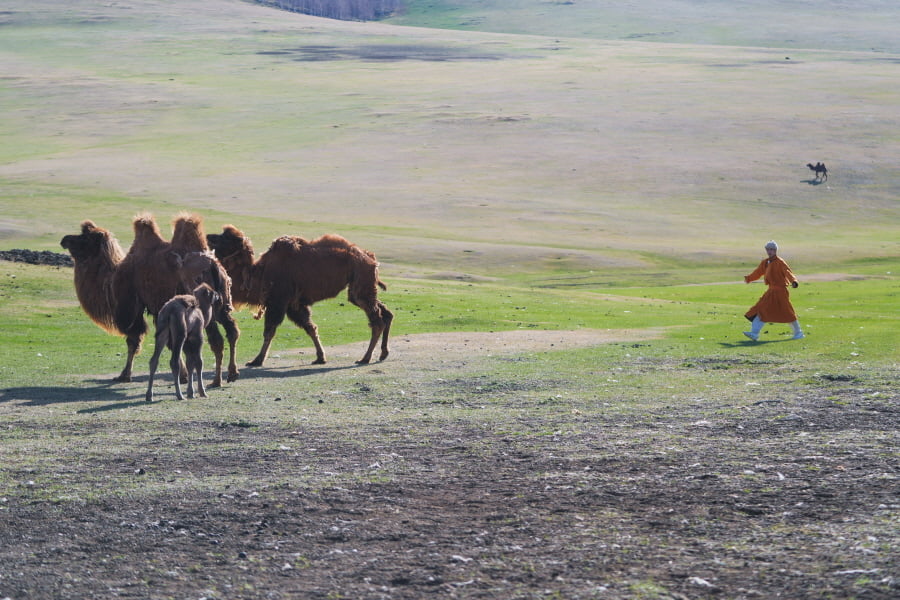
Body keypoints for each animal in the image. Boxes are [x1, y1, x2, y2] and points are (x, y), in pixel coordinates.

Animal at [209, 225, 396, 366]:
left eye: (226, 238)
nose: (209, 236)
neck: (260, 273)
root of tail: (371, 258)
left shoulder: (279, 301)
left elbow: (269, 331)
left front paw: (256, 360)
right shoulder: (295, 305)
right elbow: (310, 327)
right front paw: (320, 357)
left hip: (360, 283)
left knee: (376, 320)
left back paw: (365, 358)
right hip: (363, 286)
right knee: (385, 312)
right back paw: (383, 353)